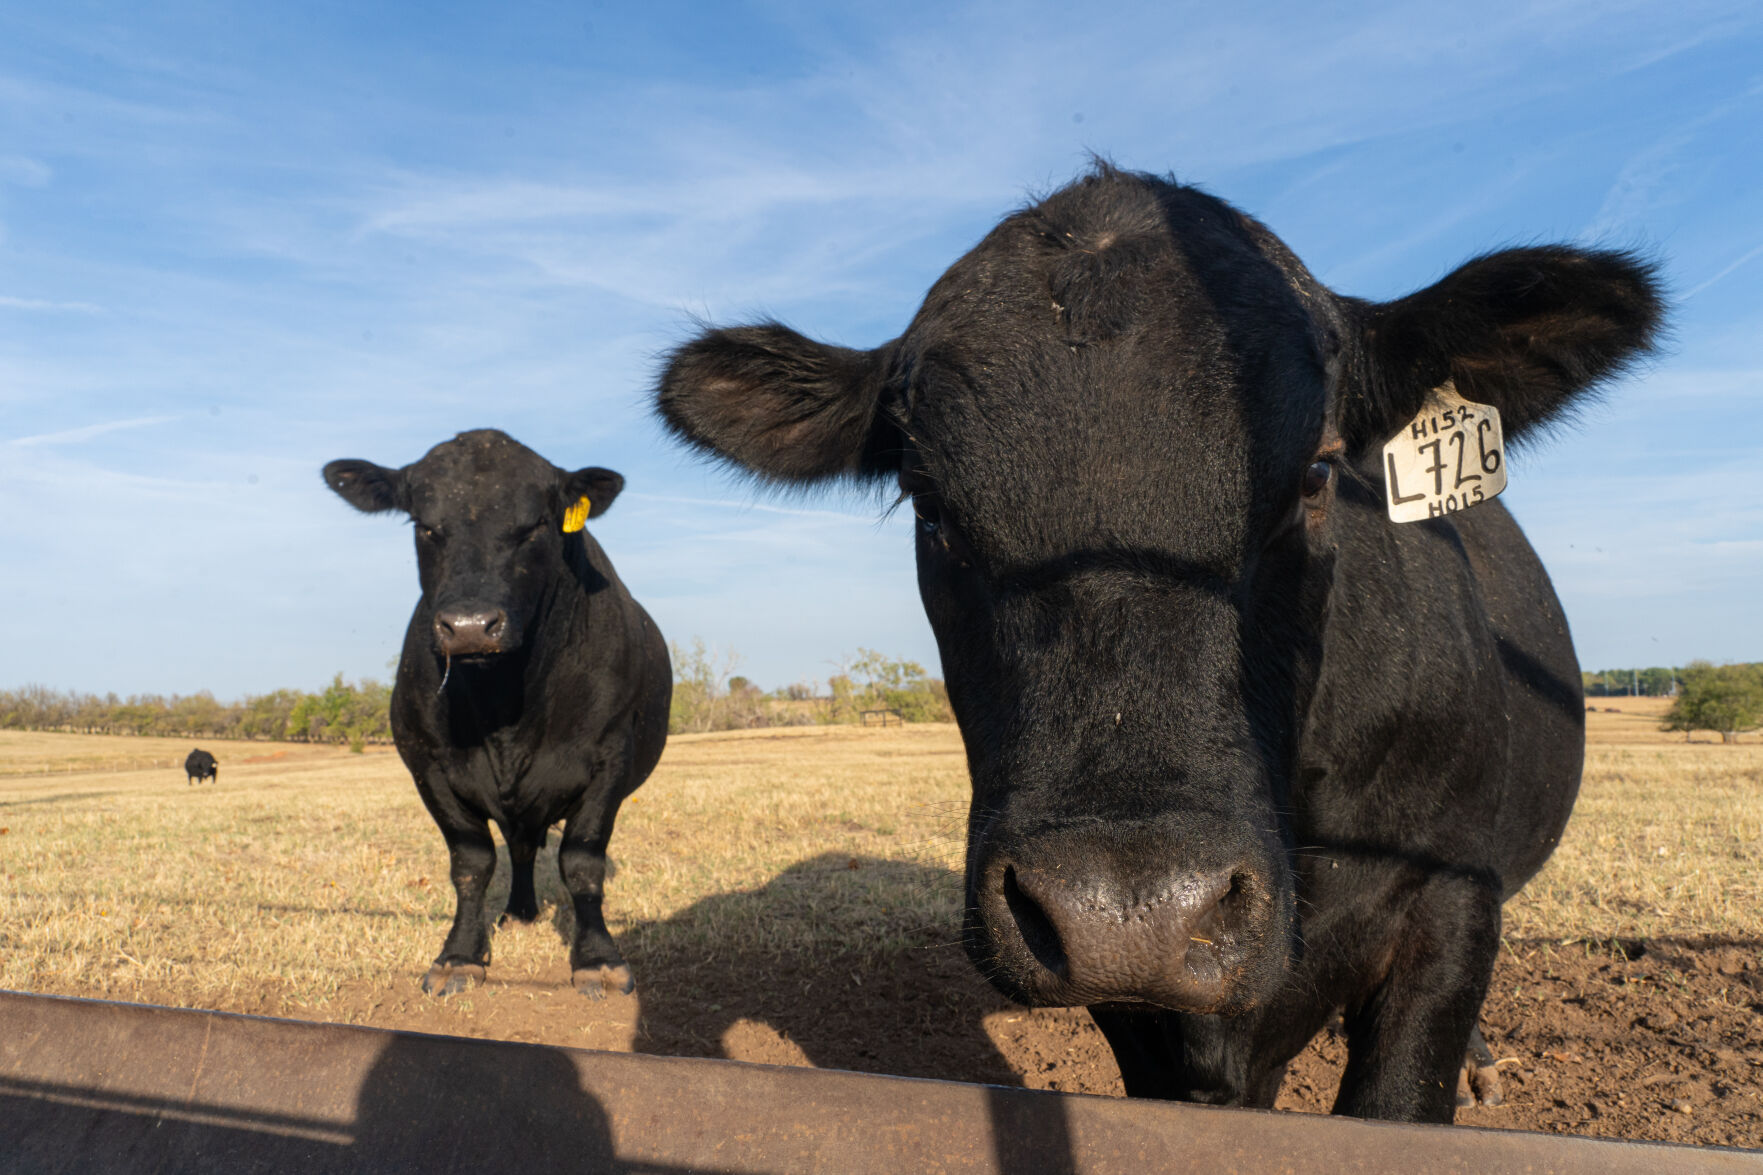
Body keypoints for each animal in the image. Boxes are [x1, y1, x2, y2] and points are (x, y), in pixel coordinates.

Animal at [322, 429, 671, 999]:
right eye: (425, 525)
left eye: (535, 526)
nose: (468, 626)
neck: (505, 705)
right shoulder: (429, 765)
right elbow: (471, 862)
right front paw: (460, 955)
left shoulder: (610, 757)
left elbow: (582, 860)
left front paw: (597, 959)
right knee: (519, 847)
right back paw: (518, 912)